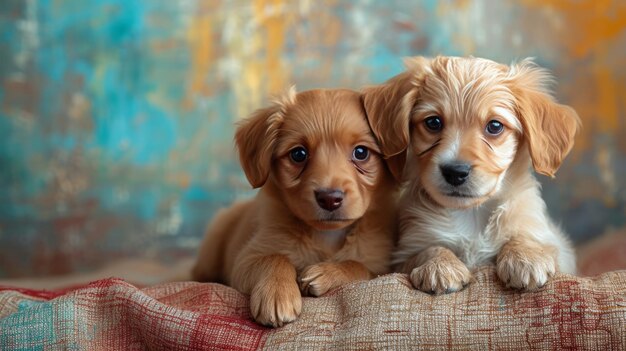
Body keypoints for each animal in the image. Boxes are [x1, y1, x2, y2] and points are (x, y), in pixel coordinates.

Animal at [191, 87, 394, 328]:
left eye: (361, 152)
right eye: (299, 154)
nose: (329, 198)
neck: (326, 236)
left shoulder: (380, 265)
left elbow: (357, 265)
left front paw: (325, 273)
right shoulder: (245, 260)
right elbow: (275, 258)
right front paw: (277, 294)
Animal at [364, 56, 576, 296]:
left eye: (495, 126)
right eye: (433, 122)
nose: (455, 172)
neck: (471, 214)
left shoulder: (552, 242)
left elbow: (526, 238)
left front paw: (526, 257)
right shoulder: (406, 250)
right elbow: (429, 248)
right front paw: (440, 265)